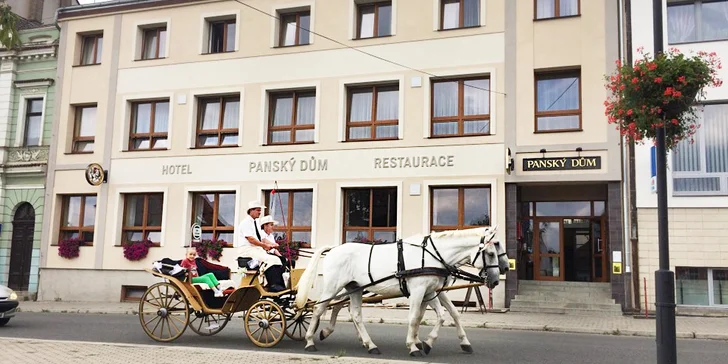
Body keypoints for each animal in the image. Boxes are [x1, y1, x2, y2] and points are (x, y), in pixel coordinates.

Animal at [292, 228, 504, 356]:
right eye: (490, 253)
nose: (496, 279)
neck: (432, 256)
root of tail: (334, 249)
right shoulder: (419, 290)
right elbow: (416, 318)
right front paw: (414, 345)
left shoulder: (431, 291)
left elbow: (445, 314)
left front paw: (428, 342)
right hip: (332, 287)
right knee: (319, 309)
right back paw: (310, 341)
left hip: (353, 288)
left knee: (354, 314)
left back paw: (369, 344)